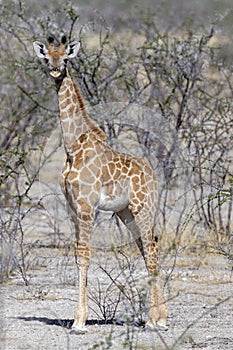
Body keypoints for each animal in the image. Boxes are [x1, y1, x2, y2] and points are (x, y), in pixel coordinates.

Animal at [32, 35, 167, 334]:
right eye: (47, 57)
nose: (55, 70)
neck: (72, 147)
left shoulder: (86, 206)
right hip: (126, 212)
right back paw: (156, 317)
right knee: (146, 248)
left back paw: (157, 321)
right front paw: (78, 318)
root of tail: (154, 177)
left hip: (143, 208)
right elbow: (77, 255)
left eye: (65, 58)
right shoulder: (72, 208)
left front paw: (79, 322)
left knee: (151, 250)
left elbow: (85, 255)